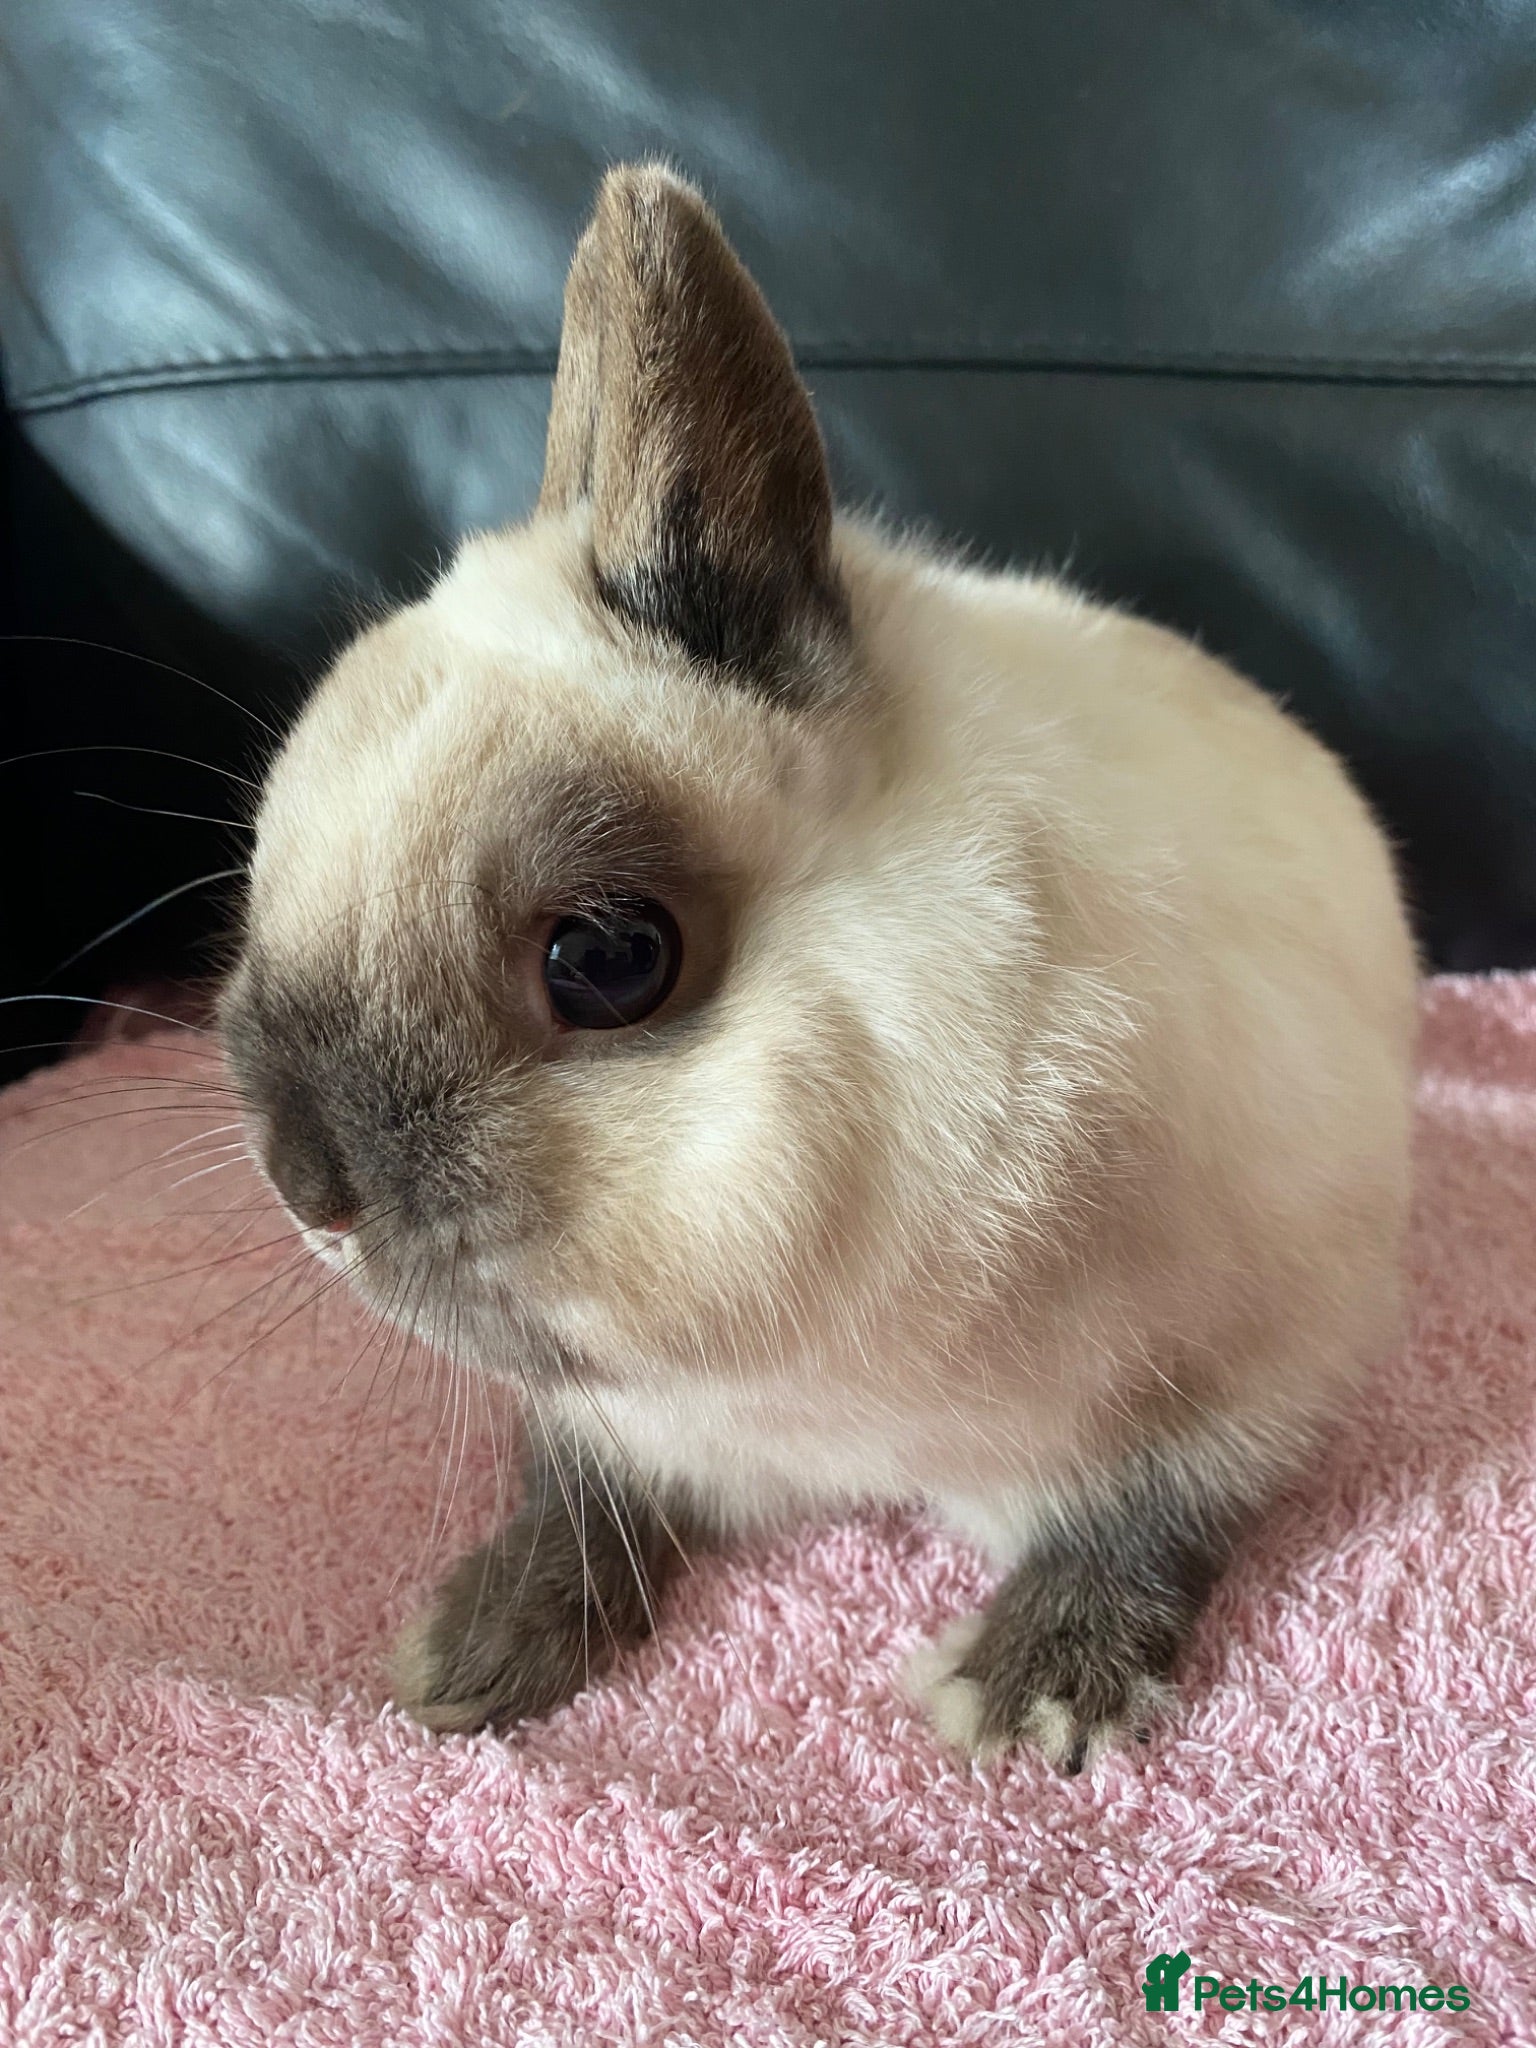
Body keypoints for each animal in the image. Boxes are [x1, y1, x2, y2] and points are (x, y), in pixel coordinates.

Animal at [220, 161, 1417, 1773]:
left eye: (608, 958)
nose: (311, 1190)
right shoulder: (634, 1423)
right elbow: (581, 1494)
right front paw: (478, 1646)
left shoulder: (1259, 1347)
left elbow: (1154, 1512)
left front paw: (1029, 1695)